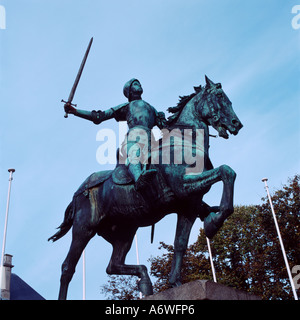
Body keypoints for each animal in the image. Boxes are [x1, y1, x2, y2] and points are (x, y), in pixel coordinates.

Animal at [48, 75, 243, 300]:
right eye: (219, 96)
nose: (237, 124)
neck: (185, 142)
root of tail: (78, 192)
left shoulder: (189, 206)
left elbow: (180, 243)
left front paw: (175, 281)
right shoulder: (183, 186)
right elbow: (226, 171)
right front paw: (214, 222)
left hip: (125, 232)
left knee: (113, 265)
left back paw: (145, 281)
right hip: (83, 229)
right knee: (67, 268)